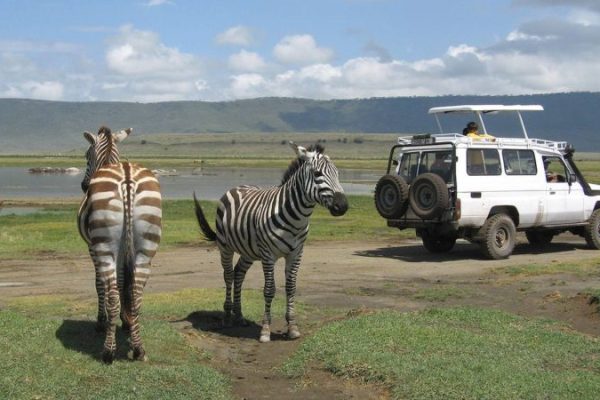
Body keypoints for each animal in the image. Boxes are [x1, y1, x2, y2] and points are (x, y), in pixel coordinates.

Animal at [77, 126, 162, 364]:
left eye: (87, 155)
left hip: (104, 247)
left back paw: (108, 351)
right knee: (137, 293)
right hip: (146, 247)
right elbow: (124, 282)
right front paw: (127, 322)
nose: (84, 186)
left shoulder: (93, 248)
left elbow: (100, 285)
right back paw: (138, 348)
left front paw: (101, 321)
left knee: (113, 295)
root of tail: (126, 175)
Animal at [195, 142, 350, 342]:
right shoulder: (268, 254)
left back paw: (239, 316)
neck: (296, 219)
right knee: (228, 275)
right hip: (225, 246)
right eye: (317, 174)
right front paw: (265, 330)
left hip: (249, 251)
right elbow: (269, 290)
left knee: (239, 273)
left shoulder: (296, 253)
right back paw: (228, 317)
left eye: (337, 173)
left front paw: (292, 327)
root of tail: (237, 187)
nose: (343, 206)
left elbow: (291, 288)